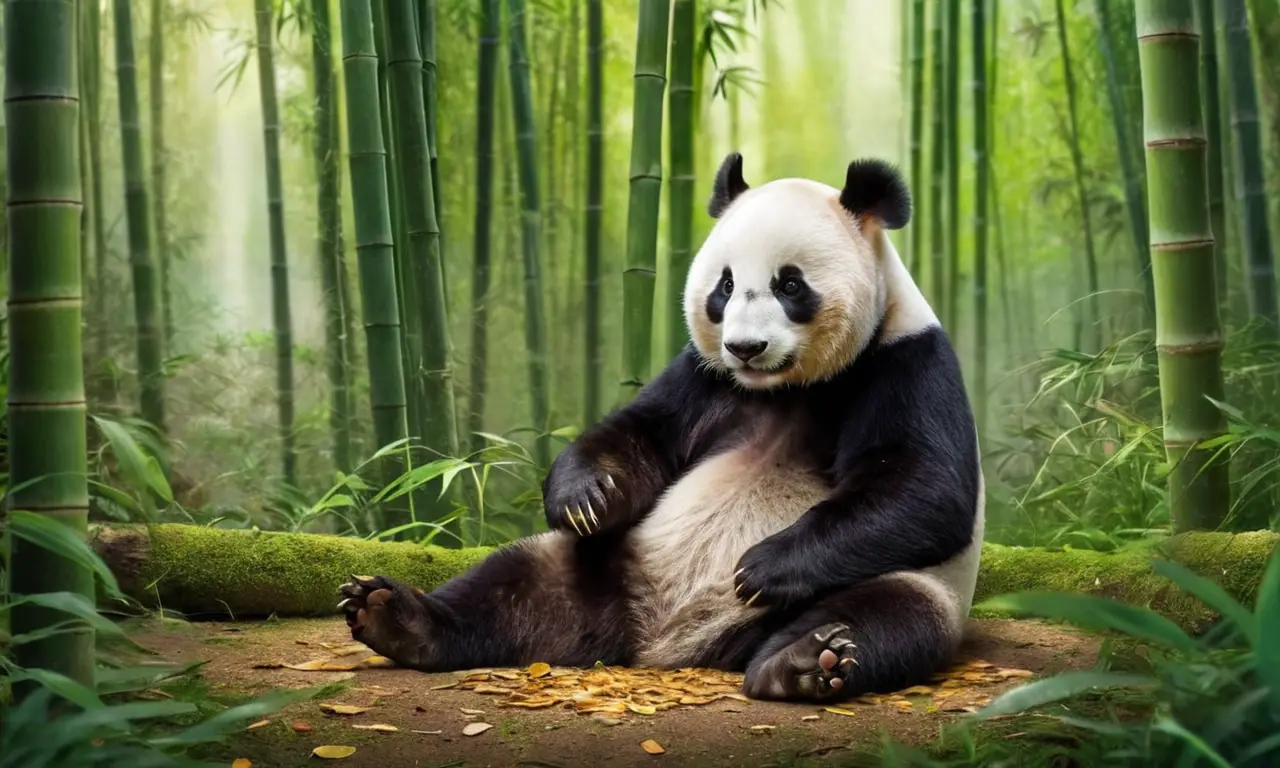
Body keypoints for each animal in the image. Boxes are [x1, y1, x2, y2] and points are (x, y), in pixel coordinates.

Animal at [338, 152, 985, 702]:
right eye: (725, 285)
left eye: (790, 284)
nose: (745, 347)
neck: (787, 388)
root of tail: (662, 641)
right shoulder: (704, 375)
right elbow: (643, 433)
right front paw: (584, 499)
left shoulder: (906, 362)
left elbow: (925, 488)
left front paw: (761, 566)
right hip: (611, 562)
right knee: (515, 581)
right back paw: (394, 617)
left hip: (913, 590)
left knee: (885, 615)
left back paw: (803, 663)